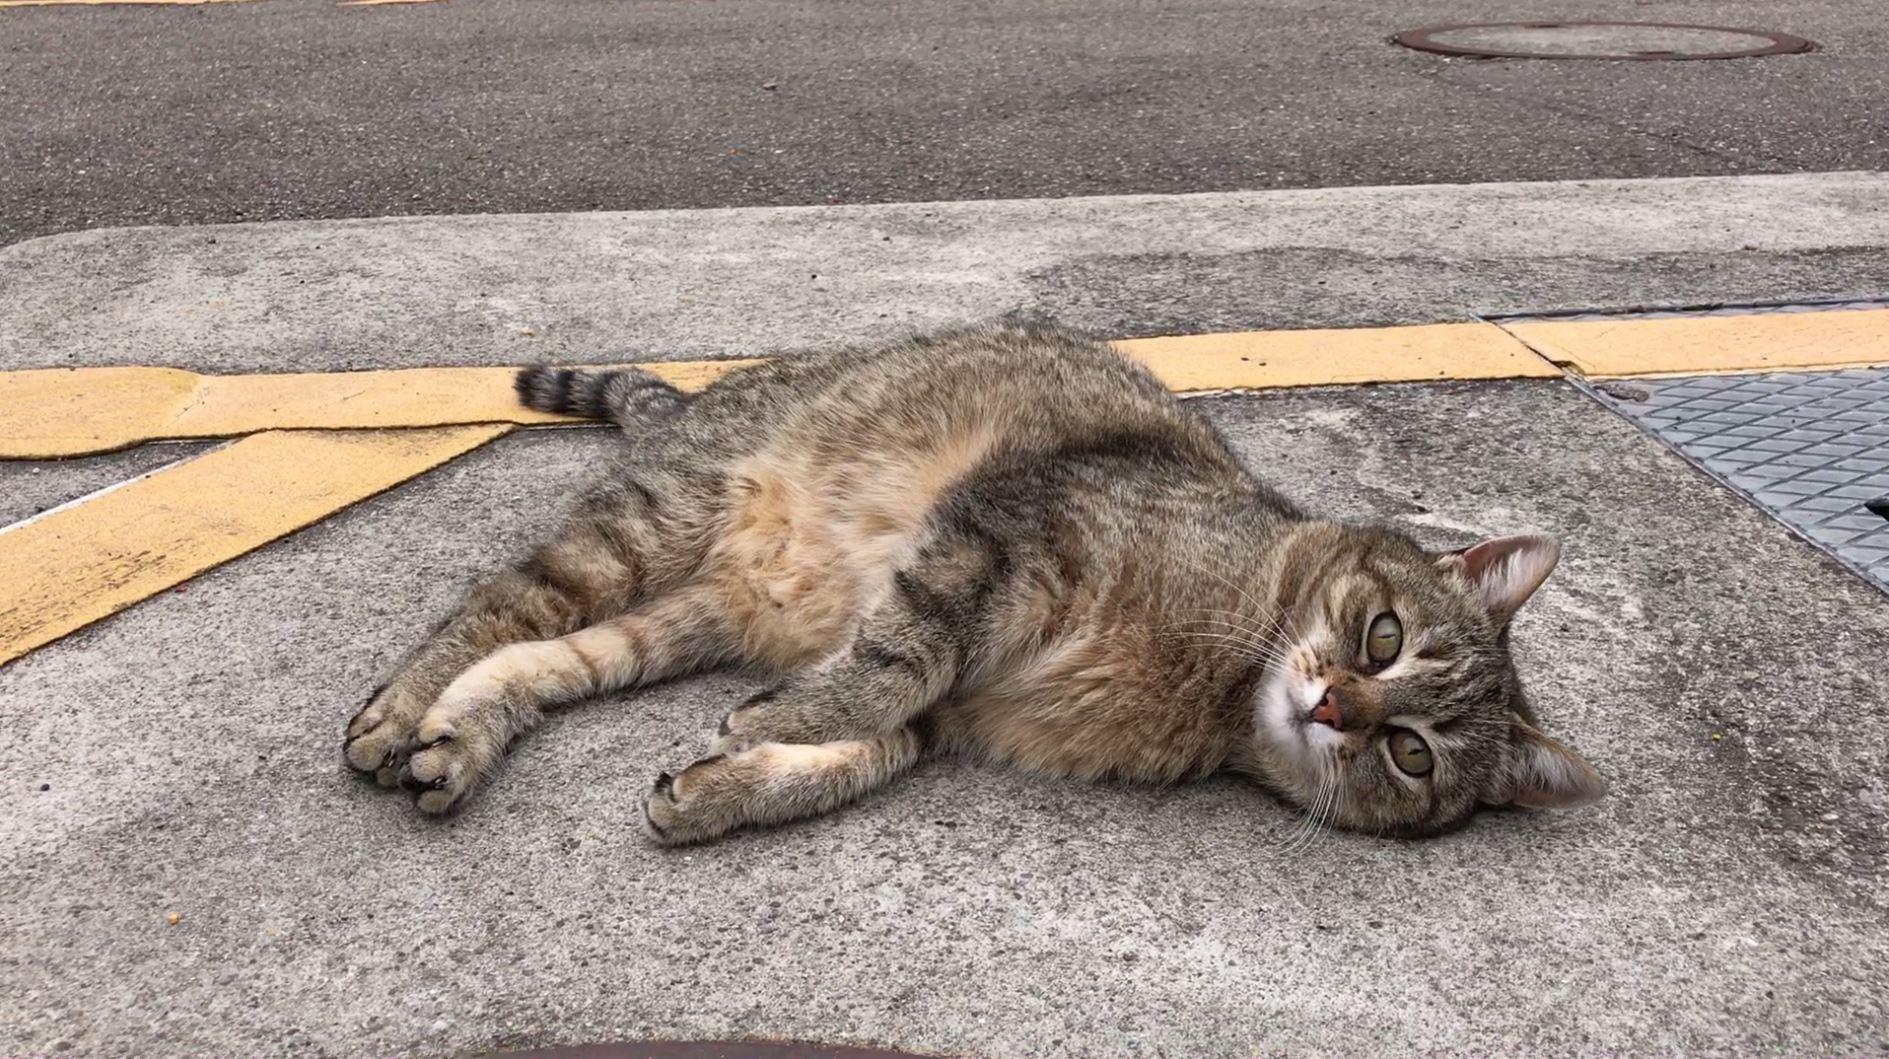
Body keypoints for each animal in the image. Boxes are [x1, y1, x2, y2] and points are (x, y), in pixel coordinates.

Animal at [343, 326, 1609, 838]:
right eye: (1382, 636)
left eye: (1409, 755)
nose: (1335, 707)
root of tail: (698, 395)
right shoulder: (997, 539)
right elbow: (893, 665)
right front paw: (768, 729)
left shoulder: (947, 713)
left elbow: (854, 751)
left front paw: (724, 786)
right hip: (652, 525)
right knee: (496, 606)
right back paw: (402, 710)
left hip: (705, 608)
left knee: (547, 655)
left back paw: (458, 736)